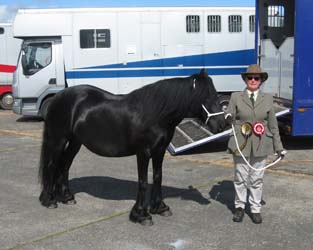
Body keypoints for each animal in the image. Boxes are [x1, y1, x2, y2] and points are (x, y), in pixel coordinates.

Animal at [39, 69, 225, 226]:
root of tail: (57, 97)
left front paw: (160, 208)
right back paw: (49, 200)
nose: (222, 124)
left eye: (217, 96)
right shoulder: (143, 152)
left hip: (75, 142)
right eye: (206, 98)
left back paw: (67, 197)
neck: (156, 113)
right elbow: (143, 181)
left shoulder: (159, 151)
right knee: (51, 165)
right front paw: (141, 215)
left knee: (65, 165)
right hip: (58, 140)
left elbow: (157, 177)